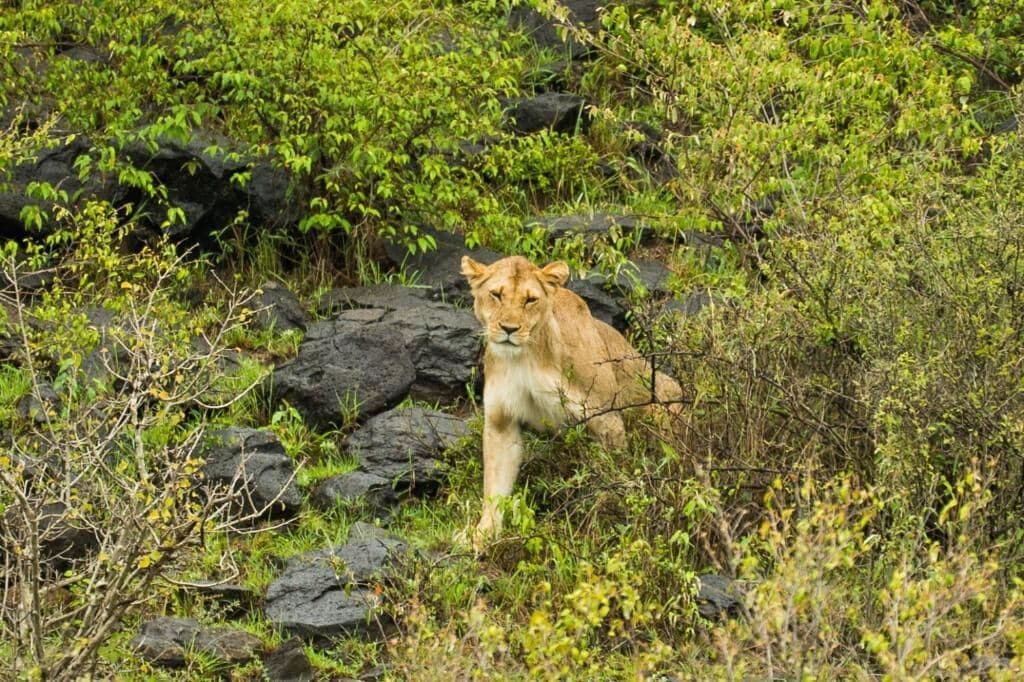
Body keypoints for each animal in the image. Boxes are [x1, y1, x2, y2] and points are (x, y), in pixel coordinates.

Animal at [460, 254, 682, 549]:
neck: (525, 358)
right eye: (496, 294)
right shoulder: (501, 422)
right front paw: (482, 534)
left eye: (530, 300)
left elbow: (612, 477)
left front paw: (606, 518)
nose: (509, 329)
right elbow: (495, 485)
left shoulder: (605, 418)